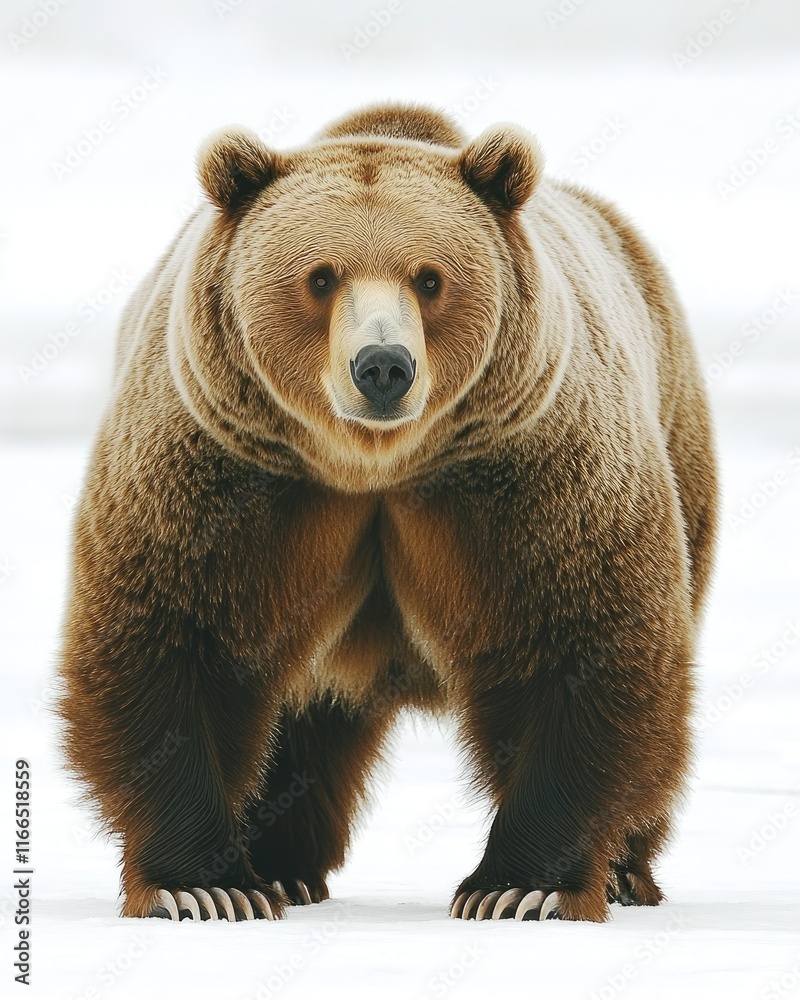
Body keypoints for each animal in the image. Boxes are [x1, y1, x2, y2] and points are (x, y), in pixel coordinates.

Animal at [57, 102, 718, 924]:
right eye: (320, 276)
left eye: (430, 278)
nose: (382, 367)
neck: (373, 465)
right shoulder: (228, 470)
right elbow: (170, 639)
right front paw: (206, 885)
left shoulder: (531, 470)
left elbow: (581, 641)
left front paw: (519, 886)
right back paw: (282, 868)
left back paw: (629, 872)